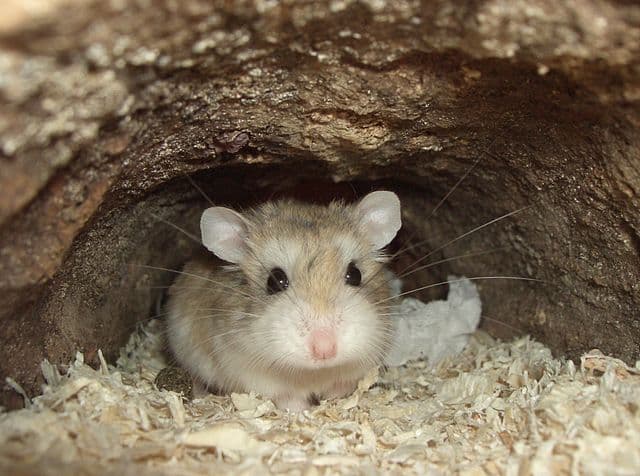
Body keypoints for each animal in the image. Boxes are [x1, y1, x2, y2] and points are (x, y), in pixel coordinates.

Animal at [166, 191, 401, 411]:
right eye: (274, 281)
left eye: (355, 275)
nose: (324, 350)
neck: (314, 373)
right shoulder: (251, 374)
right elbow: (288, 399)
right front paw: (302, 411)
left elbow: (340, 388)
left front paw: (335, 401)